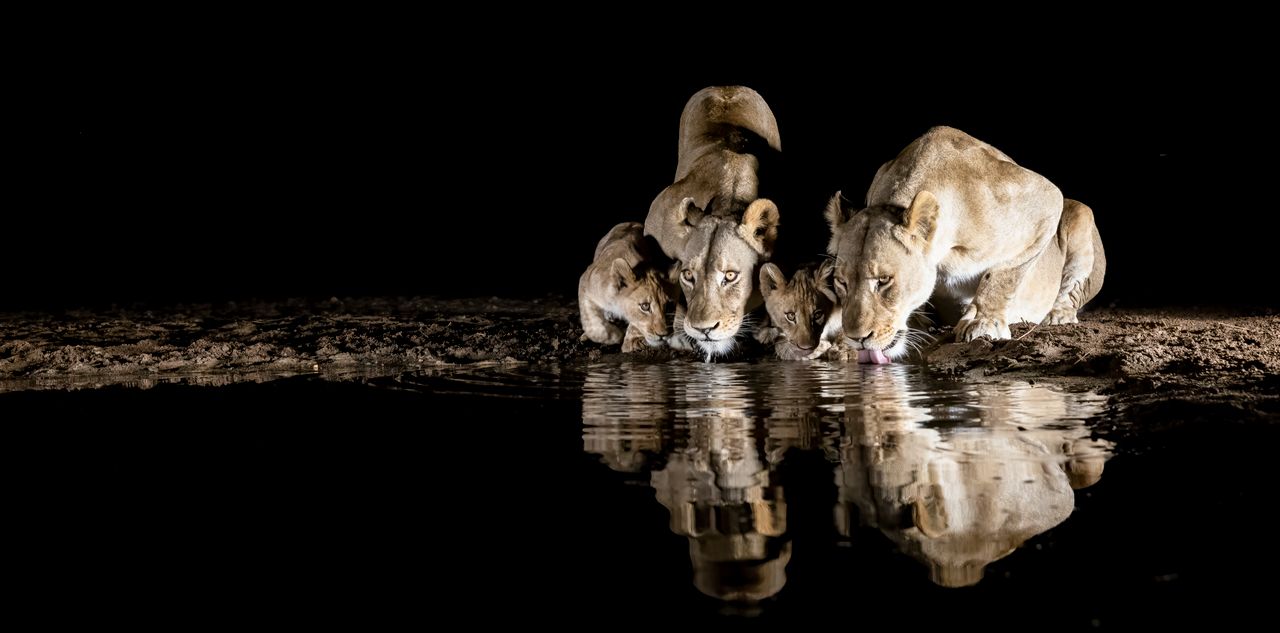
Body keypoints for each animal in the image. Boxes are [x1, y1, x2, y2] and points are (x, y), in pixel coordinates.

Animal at [581, 221, 675, 352]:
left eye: (667, 306)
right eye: (645, 306)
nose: (663, 335)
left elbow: (635, 322)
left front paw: (633, 340)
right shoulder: (586, 282)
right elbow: (591, 320)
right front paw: (611, 334)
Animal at [824, 125, 1105, 358]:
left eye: (884, 280)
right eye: (841, 282)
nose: (857, 338)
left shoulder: (1046, 198)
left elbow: (1003, 274)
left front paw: (983, 322)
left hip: (1080, 212)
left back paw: (1058, 315)